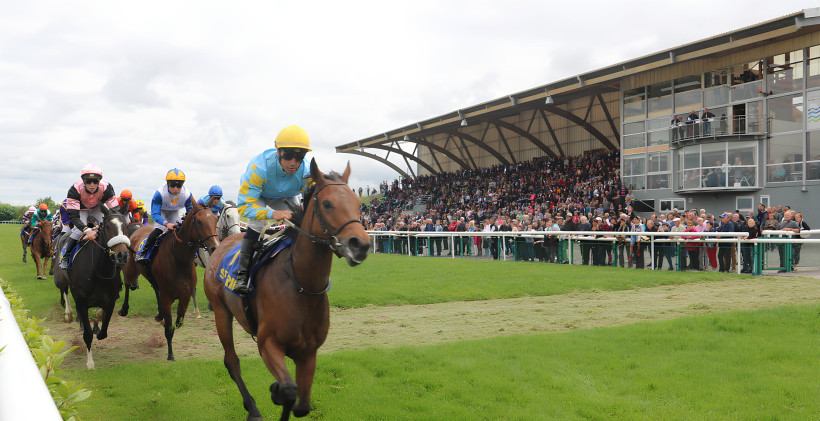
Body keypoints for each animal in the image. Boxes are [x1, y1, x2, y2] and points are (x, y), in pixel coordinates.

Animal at [52, 207, 131, 368]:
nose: (122, 255)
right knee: (65, 290)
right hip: (61, 279)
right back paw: (69, 314)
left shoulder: (110, 300)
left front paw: (96, 325)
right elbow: (88, 335)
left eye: (126, 226)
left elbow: (103, 331)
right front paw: (90, 363)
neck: (98, 272)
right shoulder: (81, 301)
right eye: (107, 227)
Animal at [120, 201, 219, 360]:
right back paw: (124, 309)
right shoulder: (167, 296)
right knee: (128, 284)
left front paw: (163, 320)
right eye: (199, 222)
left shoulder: (185, 295)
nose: (215, 246)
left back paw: (159, 314)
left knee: (155, 289)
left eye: (216, 220)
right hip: (130, 268)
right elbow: (169, 327)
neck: (179, 259)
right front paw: (170, 354)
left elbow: (177, 323)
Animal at [203, 160, 370, 420]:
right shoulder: (268, 344)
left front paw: (280, 394)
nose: (360, 244)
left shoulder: (308, 353)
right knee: (231, 361)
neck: (301, 286)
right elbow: (288, 389)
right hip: (222, 312)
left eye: (356, 202)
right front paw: (275, 391)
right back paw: (252, 408)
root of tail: (223, 244)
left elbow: (301, 405)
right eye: (327, 203)